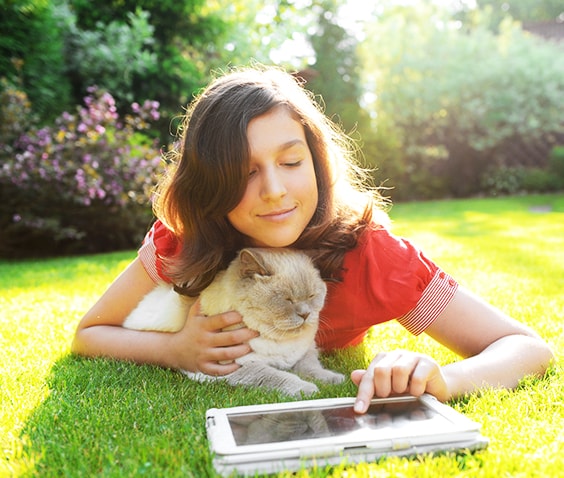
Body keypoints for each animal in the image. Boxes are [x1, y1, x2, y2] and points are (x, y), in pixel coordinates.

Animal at [123, 246, 344, 396]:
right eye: (288, 299)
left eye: (311, 296)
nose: (305, 314)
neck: (279, 340)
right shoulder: (231, 367)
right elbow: (278, 376)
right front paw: (307, 389)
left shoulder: (303, 353)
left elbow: (313, 368)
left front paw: (335, 379)